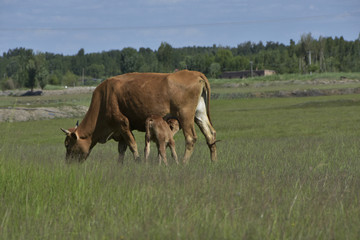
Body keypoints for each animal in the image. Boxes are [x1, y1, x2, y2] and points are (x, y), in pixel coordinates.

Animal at [60, 69, 217, 163]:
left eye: (68, 144)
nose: (68, 164)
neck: (104, 98)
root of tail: (195, 73)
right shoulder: (120, 132)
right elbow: (122, 150)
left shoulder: (123, 124)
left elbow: (132, 145)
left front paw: (138, 161)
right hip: (199, 114)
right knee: (210, 135)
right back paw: (213, 162)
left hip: (185, 116)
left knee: (191, 138)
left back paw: (184, 163)